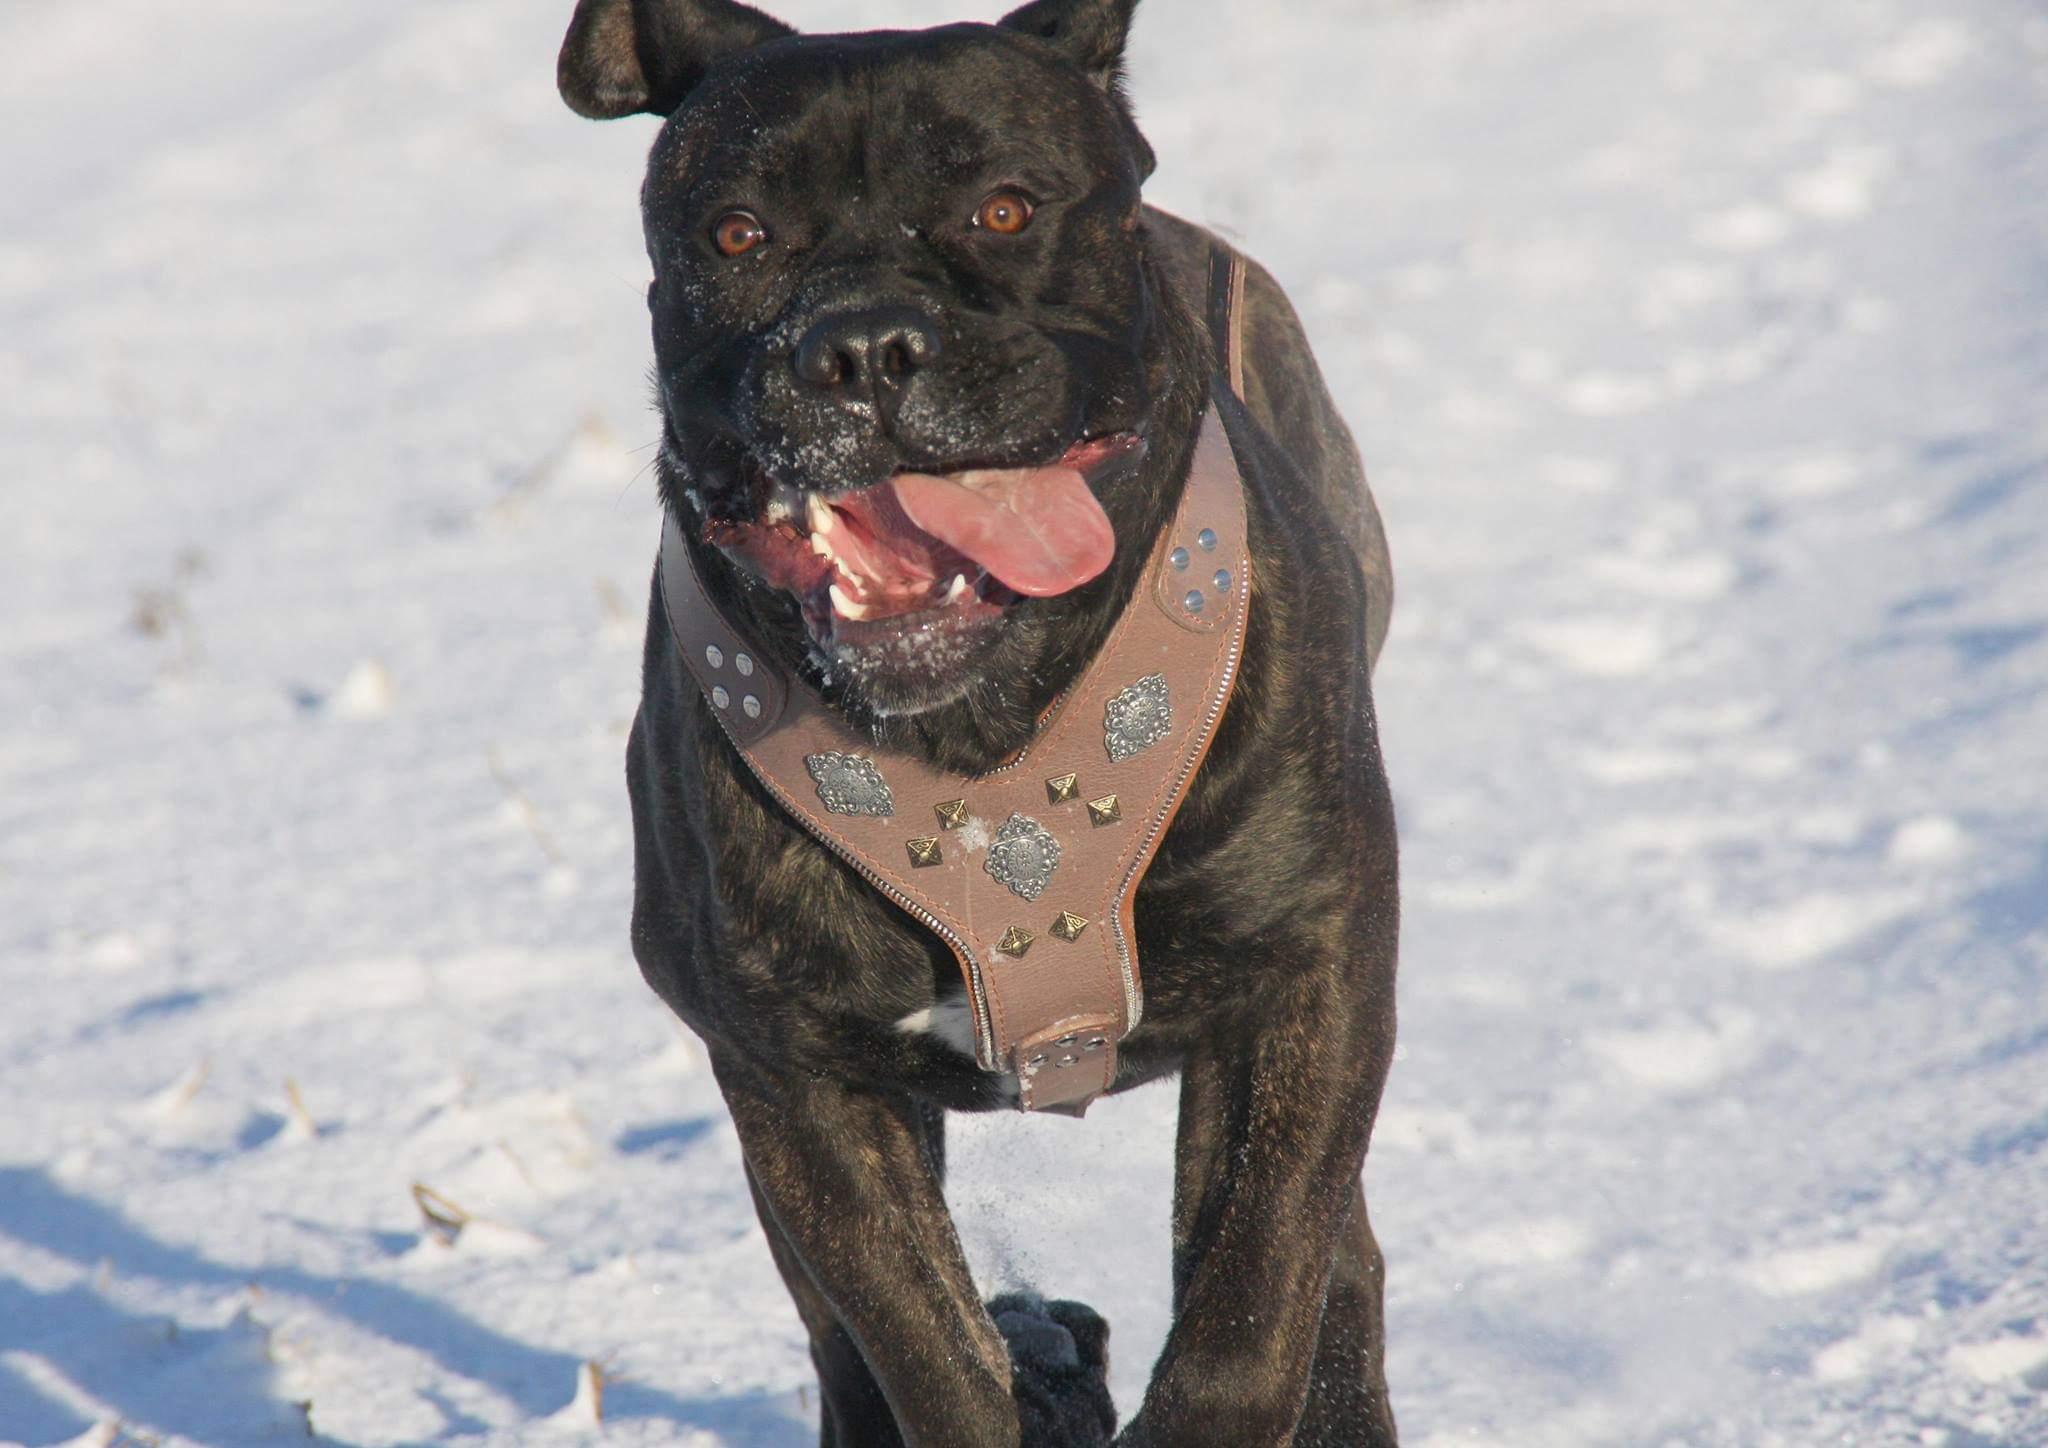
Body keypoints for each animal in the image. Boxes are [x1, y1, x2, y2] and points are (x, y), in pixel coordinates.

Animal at [552, 2, 1400, 1448]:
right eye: (737, 234)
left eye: (1005, 208)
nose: (861, 345)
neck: (982, 733)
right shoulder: (802, 1085)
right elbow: (926, 1348)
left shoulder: (1311, 976)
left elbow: (1253, 1293)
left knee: (1336, 1265)